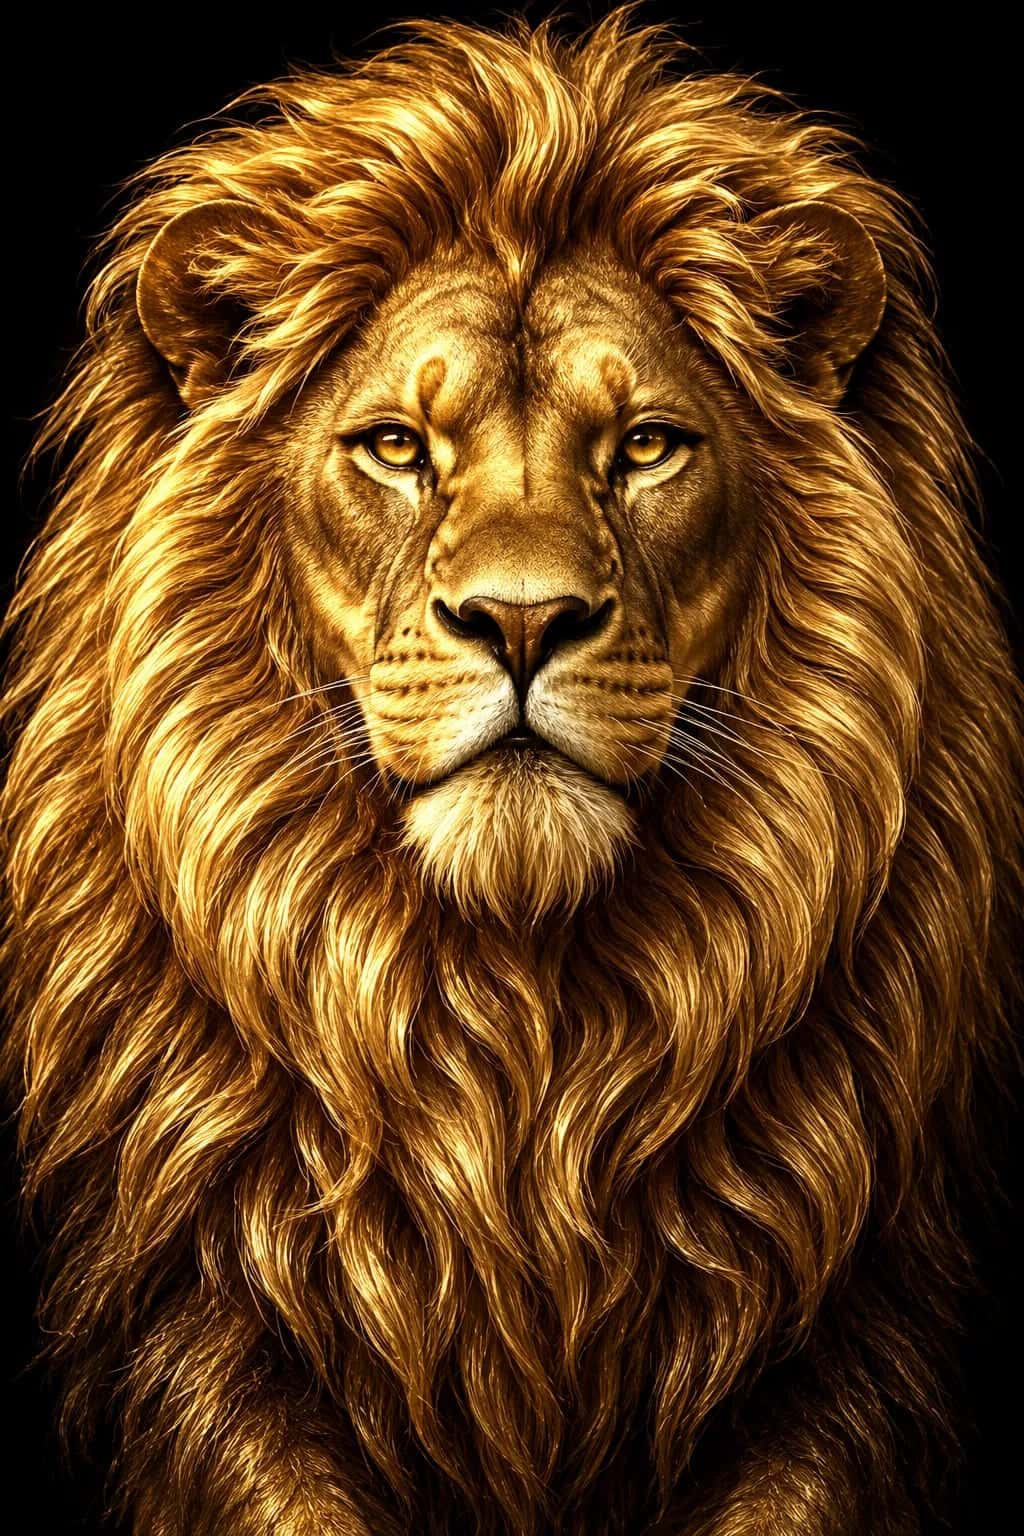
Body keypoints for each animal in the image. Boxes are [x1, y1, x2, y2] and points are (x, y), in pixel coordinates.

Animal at [2, 6, 1021, 1534]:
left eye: (647, 445)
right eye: (395, 447)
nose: (524, 620)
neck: (516, 1036)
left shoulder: (844, 1347)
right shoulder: (211, 1343)